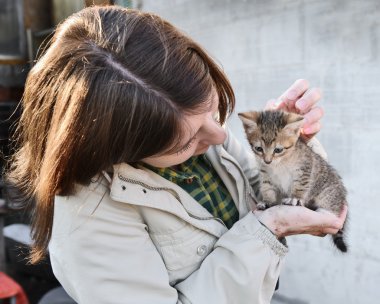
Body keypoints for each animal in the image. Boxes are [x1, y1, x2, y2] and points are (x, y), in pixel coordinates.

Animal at [239, 109, 348, 252]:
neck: (280, 163)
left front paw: (295, 198)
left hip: (328, 194)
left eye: (278, 150)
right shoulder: (265, 174)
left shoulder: (304, 168)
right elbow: (267, 189)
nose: (267, 161)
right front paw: (268, 202)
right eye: (259, 149)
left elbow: (300, 185)